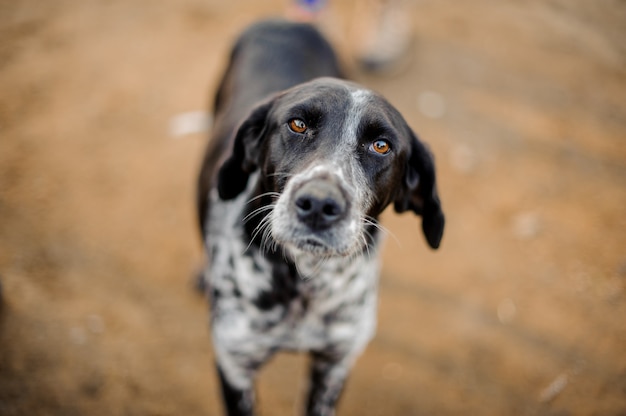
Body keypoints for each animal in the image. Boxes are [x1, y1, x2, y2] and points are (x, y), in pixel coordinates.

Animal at [196, 19, 444, 416]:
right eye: (297, 124)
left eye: (381, 146)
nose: (317, 204)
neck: (306, 283)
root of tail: (287, 21)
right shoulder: (236, 366)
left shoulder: (334, 364)